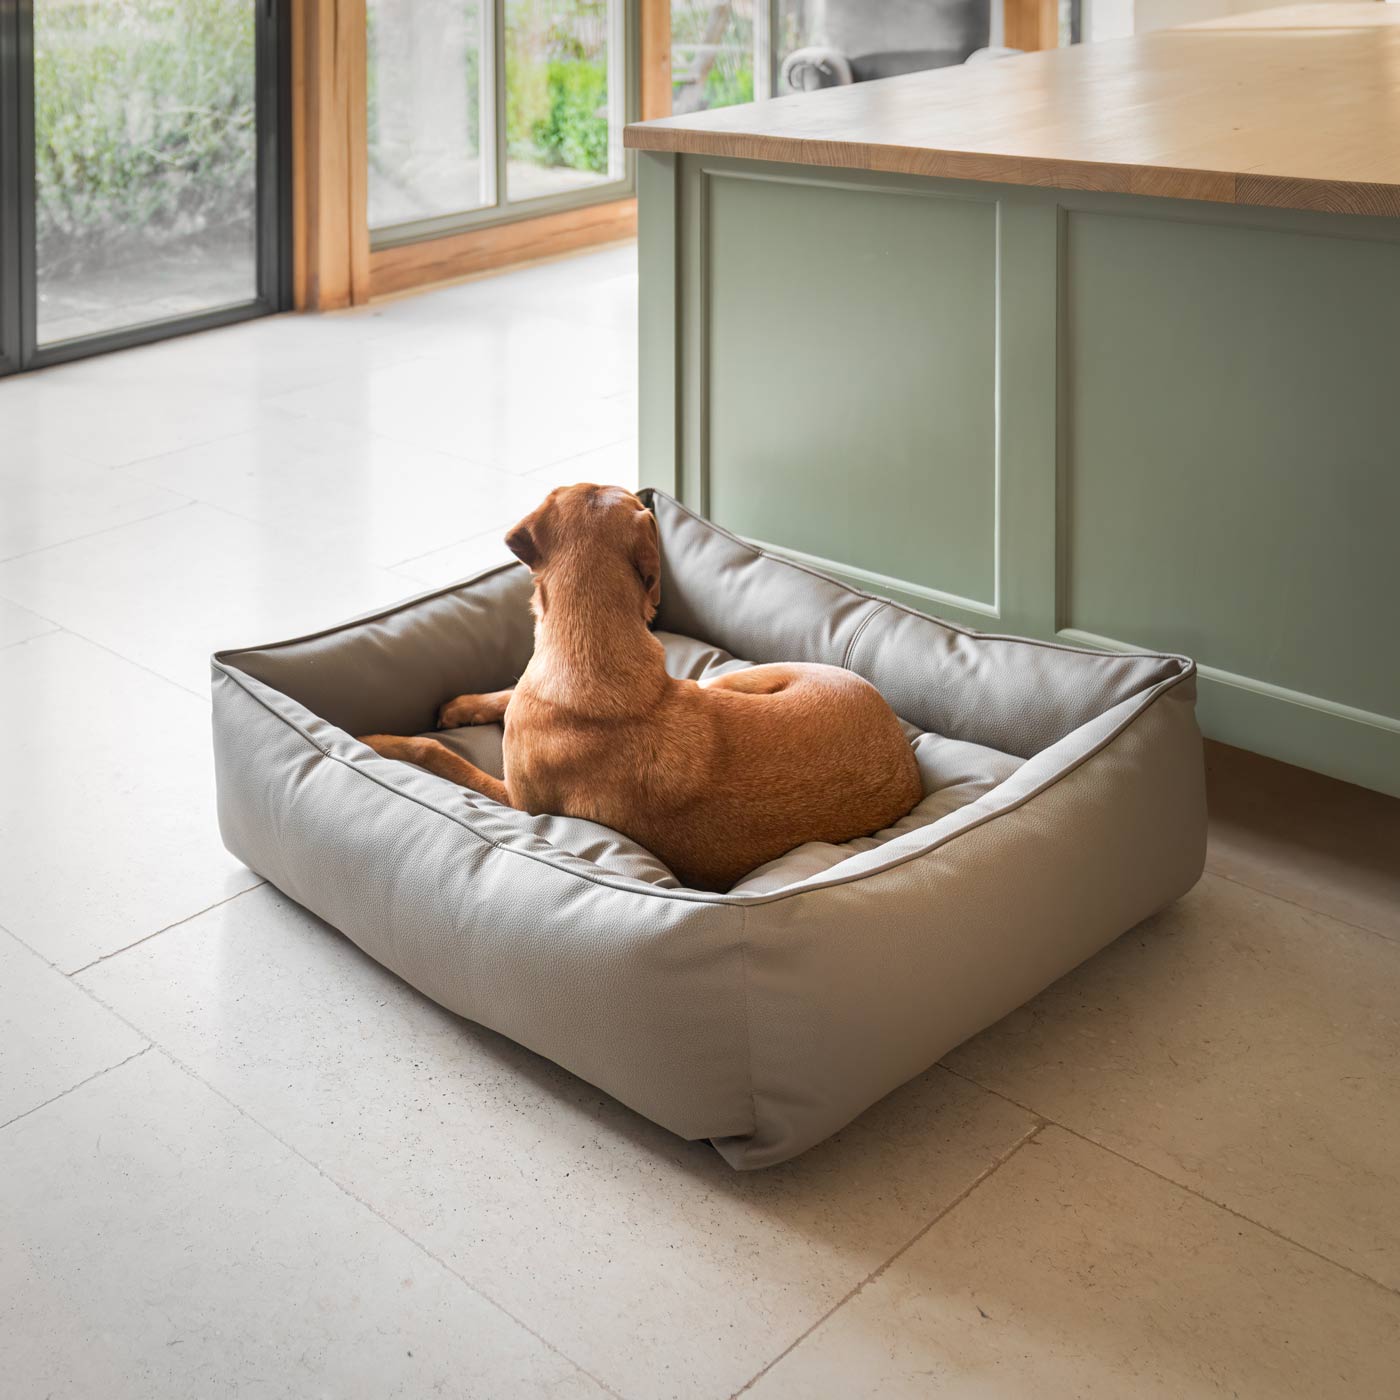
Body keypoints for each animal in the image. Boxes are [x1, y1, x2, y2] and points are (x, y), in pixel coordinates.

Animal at [364, 487, 918, 890]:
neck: (594, 647)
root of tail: (908, 759)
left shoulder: (517, 800)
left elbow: (438, 752)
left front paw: (377, 743)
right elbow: (506, 691)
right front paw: (462, 705)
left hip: (730, 677)